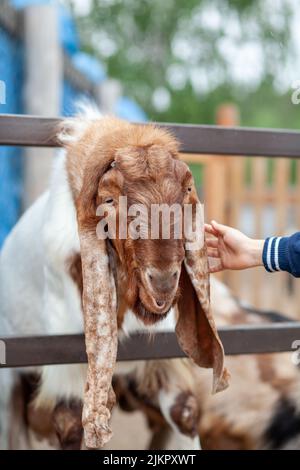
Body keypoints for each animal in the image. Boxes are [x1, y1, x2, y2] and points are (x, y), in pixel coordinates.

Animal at [0, 108, 227, 450]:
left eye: (187, 192)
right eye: (108, 201)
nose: (162, 281)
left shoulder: (157, 362)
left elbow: (184, 410)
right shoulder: (66, 369)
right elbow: (72, 427)